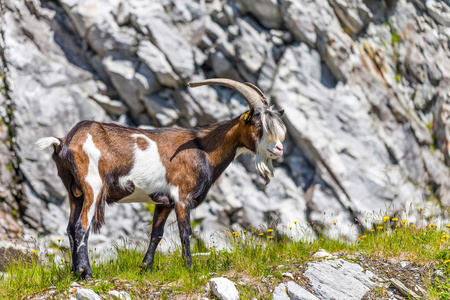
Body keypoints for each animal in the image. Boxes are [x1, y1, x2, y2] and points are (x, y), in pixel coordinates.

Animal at [37, 78, 286, 278]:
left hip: (74, 192)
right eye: (257, 124)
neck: (202, 148)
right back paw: (86, 273)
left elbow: (156, 234)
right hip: (93, 186)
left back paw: (74, 272)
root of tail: (64, 142)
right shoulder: (182, 197)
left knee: (71, 228)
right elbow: (186, 232)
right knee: (82, 227)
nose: (279, 148)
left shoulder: (163, 202)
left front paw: (145, 268)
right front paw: (190, 268)